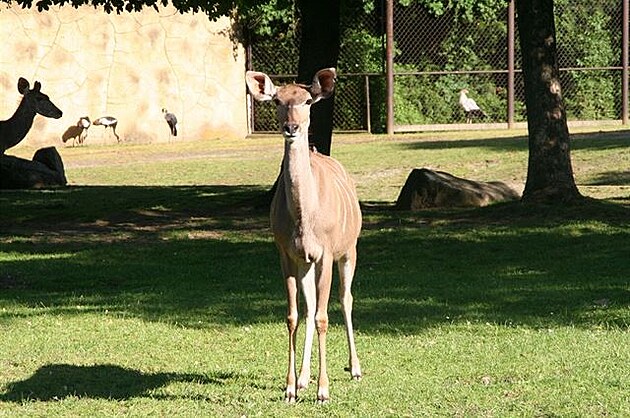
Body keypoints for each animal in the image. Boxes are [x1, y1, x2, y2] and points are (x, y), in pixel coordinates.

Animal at [248, 68, 366, 404]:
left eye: (308, 100)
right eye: (277, 100)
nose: (291, 127)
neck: (305, 220)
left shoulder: (326, 252)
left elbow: (324, 316)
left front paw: (323, 391)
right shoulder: (287, 254)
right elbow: (294, 315)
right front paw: (290, 387)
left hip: (349, 250)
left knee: (346, 298)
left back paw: (354, 369)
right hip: (307, 263)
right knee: (311, 305)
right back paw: (303, 379)